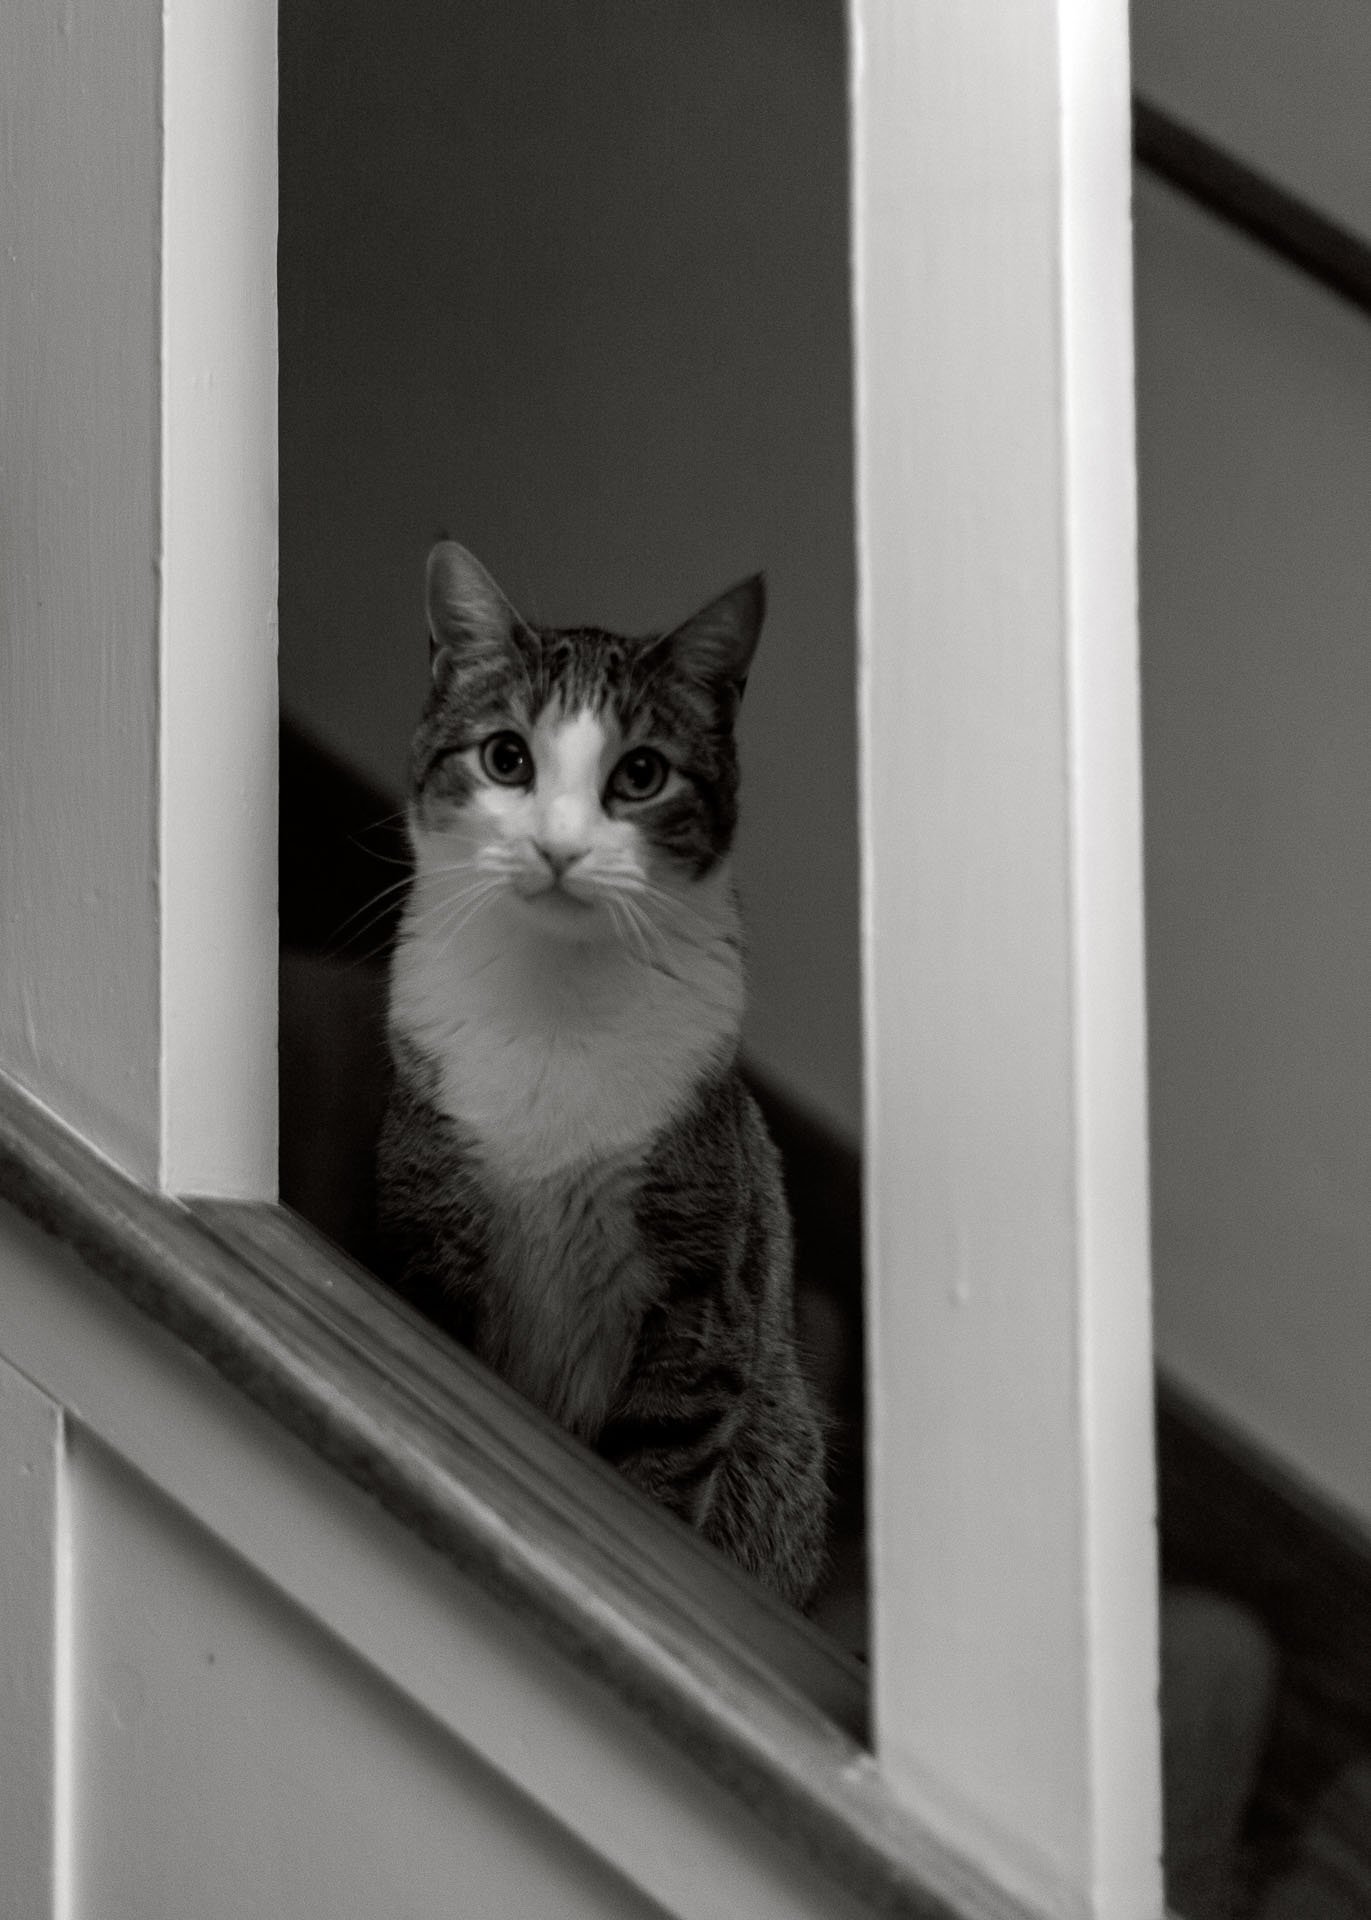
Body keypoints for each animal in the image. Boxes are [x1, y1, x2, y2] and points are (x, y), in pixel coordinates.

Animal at [374, 541, 821, 1605]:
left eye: (641, 773)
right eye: (506, 757)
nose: (559, 846)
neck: (557, 999)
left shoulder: (699, 1288)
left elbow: (659, 1466)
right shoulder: (430, 1228)